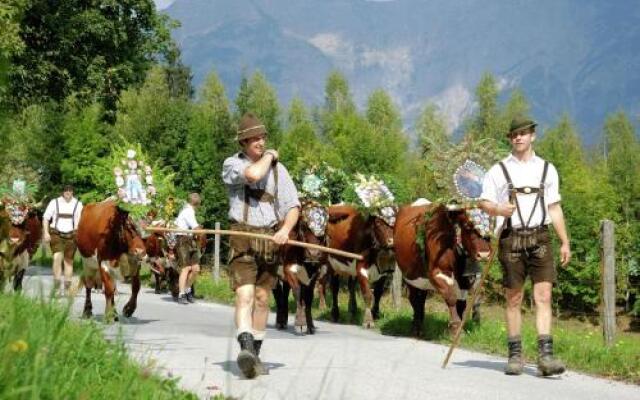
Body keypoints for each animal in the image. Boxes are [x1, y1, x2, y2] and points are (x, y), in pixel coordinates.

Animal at [396, 203, 490, 338]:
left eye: (491, 224)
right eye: (468, 226)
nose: (483, 254)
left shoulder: (465, 280)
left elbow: (461, 304)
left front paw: (459, 328)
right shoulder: (438, 272)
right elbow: (451, 298)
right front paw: (455, 328)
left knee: (421, 300)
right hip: (411, 278)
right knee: (414, 300)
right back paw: (416, 329)